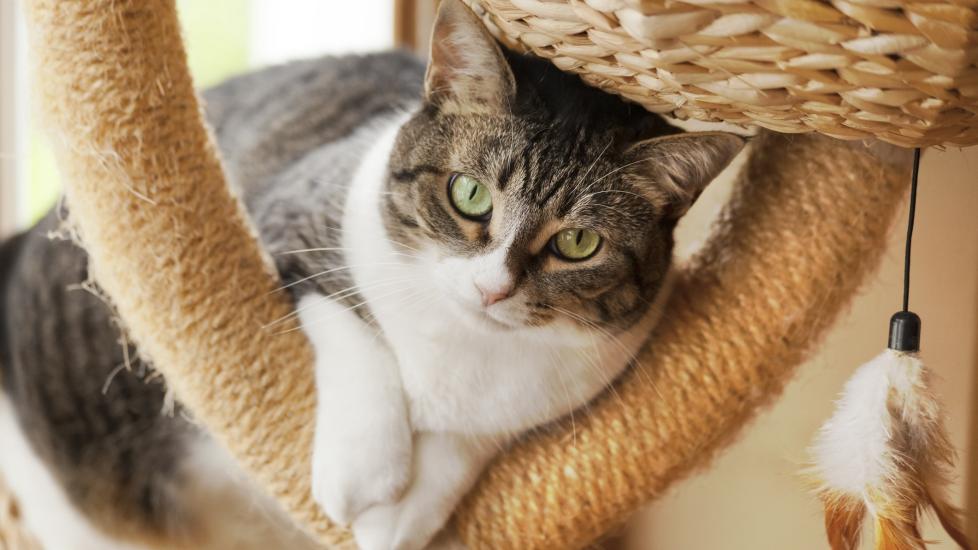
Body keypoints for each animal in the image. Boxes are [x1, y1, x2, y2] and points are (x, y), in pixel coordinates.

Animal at [0, 1, 740, 550]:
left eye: (579, 243)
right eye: (469, 195)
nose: (493, 288)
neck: (461, 345)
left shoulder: (575, 382)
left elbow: (478, 431)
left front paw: (401, 516)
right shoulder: (286, 218)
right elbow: (350, 323)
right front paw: (365, 472)